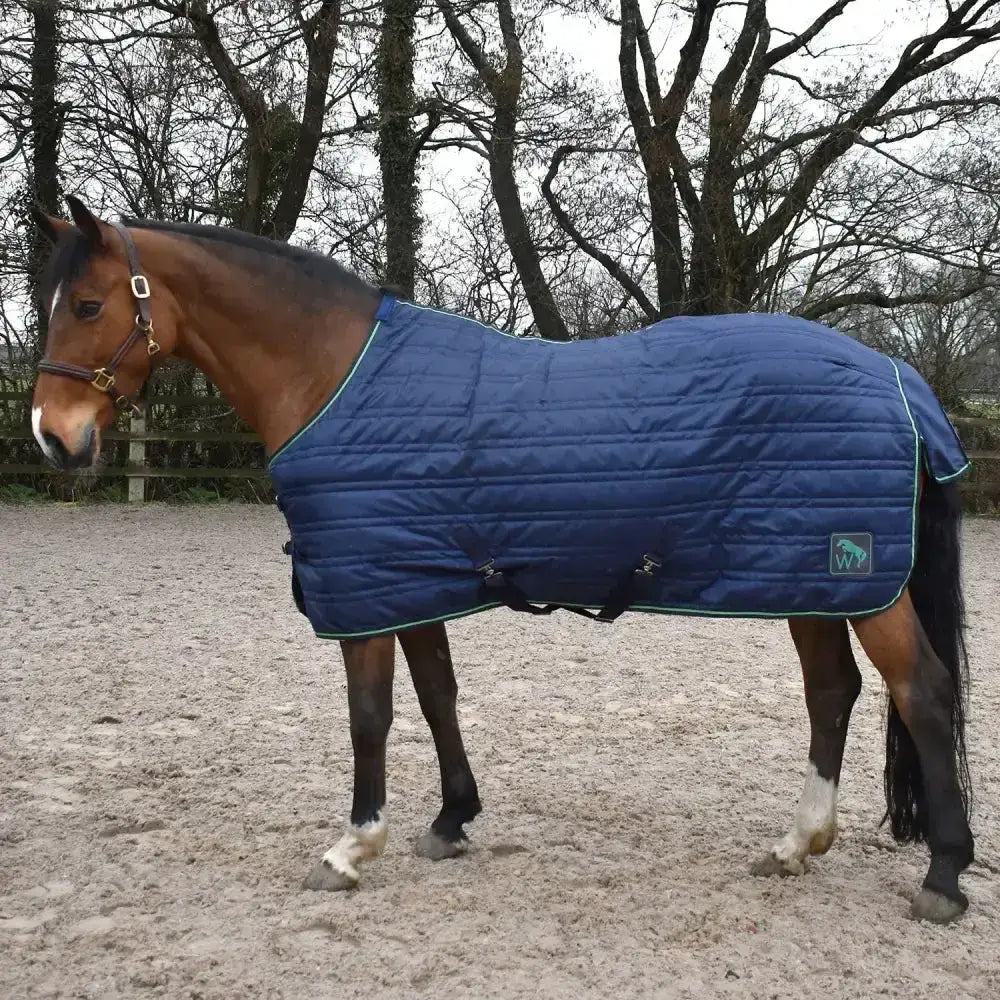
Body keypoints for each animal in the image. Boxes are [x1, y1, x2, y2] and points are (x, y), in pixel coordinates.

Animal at [28, 196, 974, 924]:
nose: (52, 437)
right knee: (834, 693)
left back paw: (943, 876)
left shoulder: (364, 589)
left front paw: (352, 846)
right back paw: (796, 843)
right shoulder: (409, 579)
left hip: (854, 579)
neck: (336, 377)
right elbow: (437, 696)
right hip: (812, 579)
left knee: (920, 694)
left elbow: (369, 715)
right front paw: (452, 819)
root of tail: (895, 374)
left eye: (87, 306)